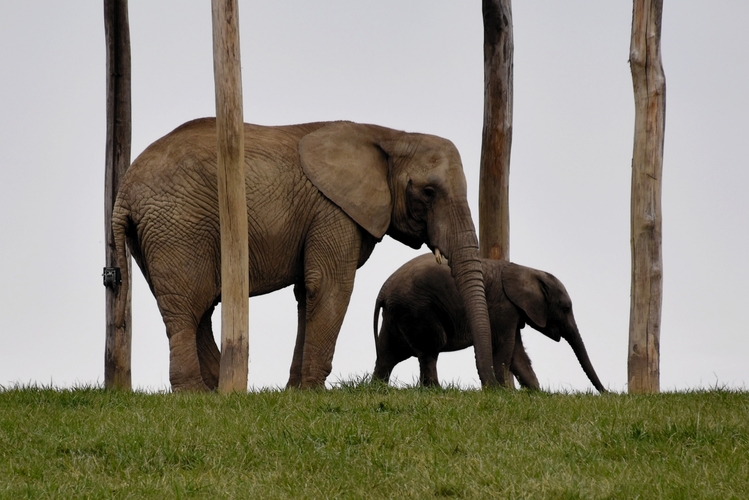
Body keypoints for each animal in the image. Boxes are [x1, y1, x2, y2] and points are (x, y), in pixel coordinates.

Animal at [112, 118, 496, 390]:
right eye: (429, 192)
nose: (492, 387)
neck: (389, 135)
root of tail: (124, 191)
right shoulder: (334, 211)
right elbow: (330, 286)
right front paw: (314, 391)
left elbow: (305, 293)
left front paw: (295, 391)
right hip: (177, 227)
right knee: (188, 308)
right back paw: (195, 394)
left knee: (198, 310)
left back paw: (215, 388)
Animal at [372, 256, 604, 392]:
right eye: (565, 308)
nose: (606, 393)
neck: (527, 271)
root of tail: (382, 291)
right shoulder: (504, 307)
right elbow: (505, 348)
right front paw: (505, 393)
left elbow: (517, 354)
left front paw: (536, 394)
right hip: (418, 309)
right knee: (430, 348)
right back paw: (436, 390)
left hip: (397, 313)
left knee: (388, 354)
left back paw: (377, 386)